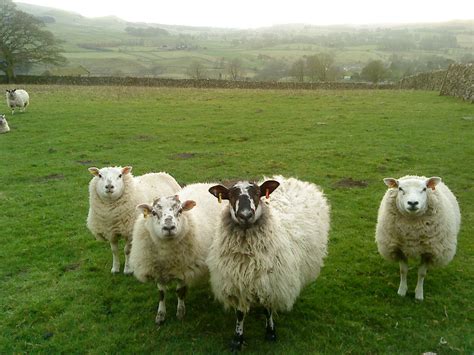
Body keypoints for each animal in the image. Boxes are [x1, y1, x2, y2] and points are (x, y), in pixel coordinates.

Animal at [129, 185, 225, 326]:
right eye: (153, 213)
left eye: (180, 211)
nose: (169, 227)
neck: (166, 255)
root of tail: (205, 183)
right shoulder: (158, 271)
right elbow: (161, 293)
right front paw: (160, 315)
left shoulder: (184, 269)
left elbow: (180, 292)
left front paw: (180, 312)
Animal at [207, 175, 330, 350]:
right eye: (230, 196)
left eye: (258, 193)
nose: (245, 215)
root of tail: (291, 179)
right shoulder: (237, 283)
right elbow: (240, 313)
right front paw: (237, 339)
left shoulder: (271, 282)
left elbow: (268, 309)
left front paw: (270, 333)